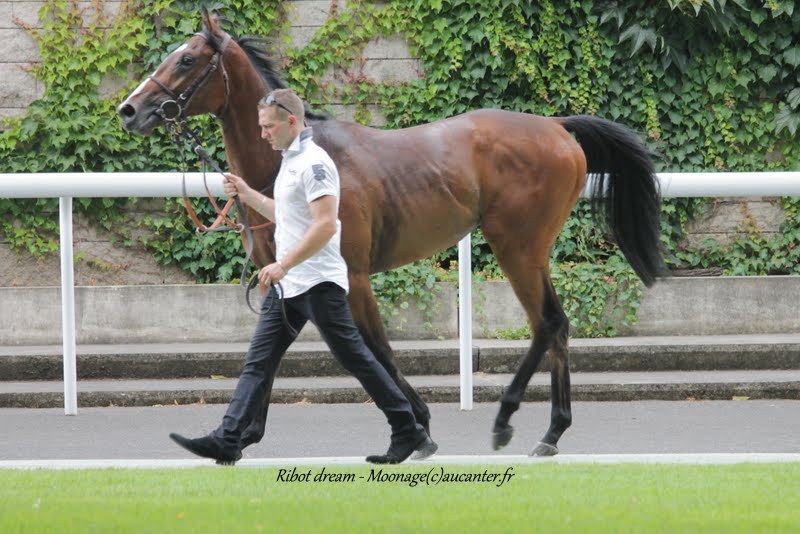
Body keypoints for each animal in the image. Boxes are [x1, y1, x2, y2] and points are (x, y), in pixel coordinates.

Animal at [117, 9, 664, 456]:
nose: (129, 110)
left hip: (517, 247)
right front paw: (238, 436)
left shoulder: (351, 277)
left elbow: (374, 350)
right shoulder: (287, 277)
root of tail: (556, 127)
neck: (288, 163)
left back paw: (508, 419)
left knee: (548, 322)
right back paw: (552, 430)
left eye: (187, 59)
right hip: (528, 250)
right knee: (557, 325)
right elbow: (268, 353)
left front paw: (417, 428)